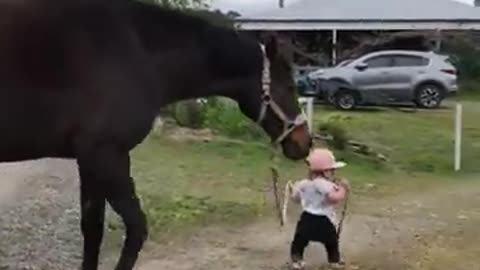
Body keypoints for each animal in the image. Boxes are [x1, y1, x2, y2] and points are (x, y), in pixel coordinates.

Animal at [0, 0, 314, 270]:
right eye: (288, 86)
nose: (304, 142)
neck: (135, 51)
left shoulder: (88, 160)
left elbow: (92, 229)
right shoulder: (107, 155)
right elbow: (137, 228)